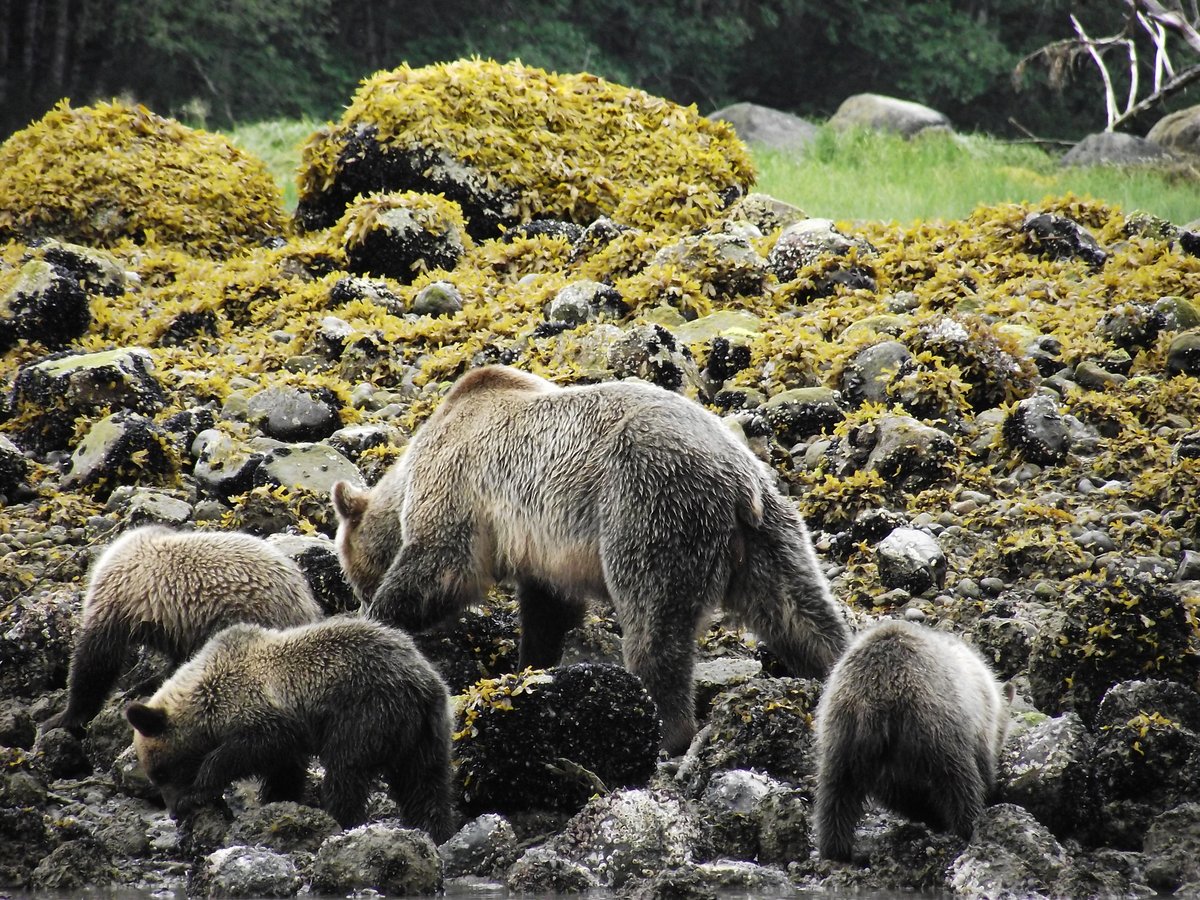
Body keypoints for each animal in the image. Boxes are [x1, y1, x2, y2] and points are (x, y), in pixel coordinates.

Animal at [125, 619, 453, 844]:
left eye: (161, 773)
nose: (173, 811)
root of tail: (422, 681)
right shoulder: (288, 738)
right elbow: (284, 771)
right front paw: (277, 799)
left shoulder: (265, 716)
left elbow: (244, 751)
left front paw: (198, 791)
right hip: (427, 731)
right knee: (425, 783)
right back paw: (434, 830)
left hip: (366, 712)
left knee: (347, 773)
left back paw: (339, 819)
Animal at [333, 367, 849, 753]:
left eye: (350, 573)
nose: (357, 595)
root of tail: (739, 483)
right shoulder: (540, 548)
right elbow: (548, 611)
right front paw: (530, 666)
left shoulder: (461, 489)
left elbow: (439, 567)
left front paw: (381, 617)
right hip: (770, 532)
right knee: (800, 610)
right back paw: (831, 673)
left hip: (649, 507)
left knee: (653, 625)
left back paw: (667, 732)